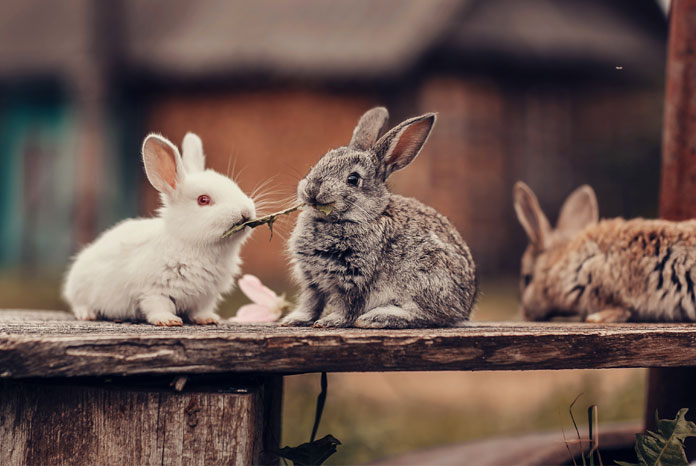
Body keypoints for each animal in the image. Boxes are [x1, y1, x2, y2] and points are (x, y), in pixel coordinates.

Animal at [62, 132, 256, 326]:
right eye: (203, 200)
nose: (245, 211)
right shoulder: (153, 290)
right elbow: (158, 306)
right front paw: (168, 320)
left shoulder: (206, 296)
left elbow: (201, 310)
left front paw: (208, 319)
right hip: (81, 289)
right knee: (79, 304)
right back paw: (87, 314)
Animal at [281, 107, 477, 329]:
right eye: (316, 165)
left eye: (353, 179)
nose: (312, 190)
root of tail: (464, 308)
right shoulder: (311, 281)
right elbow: (311, 303)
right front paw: (294, 320)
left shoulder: (352, 279)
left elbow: (345, 306)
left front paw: (330, 322)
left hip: (425, 279)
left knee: (428, 316)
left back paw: (375, 318)